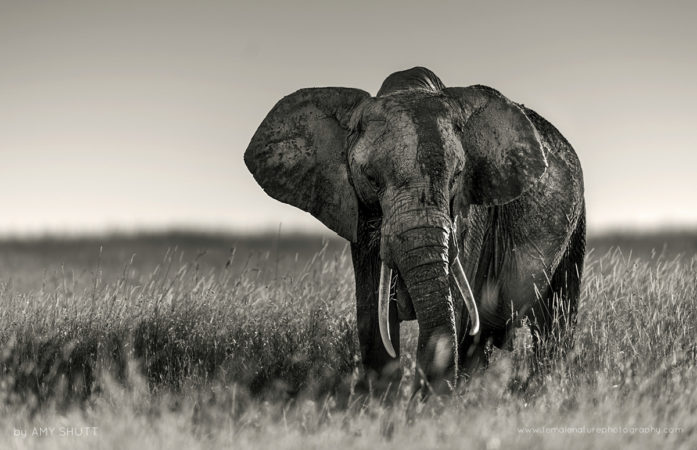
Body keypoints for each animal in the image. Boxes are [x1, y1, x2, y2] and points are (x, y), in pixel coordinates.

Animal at [244, 67, 585, 396]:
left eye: (457, 176)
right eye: (371, 178)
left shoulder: (469, 216)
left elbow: (455, 307)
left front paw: (427, 405)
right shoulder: (359, 214)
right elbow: (372, 313)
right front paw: (383, 402)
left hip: (575, 223)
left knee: (555, 319)